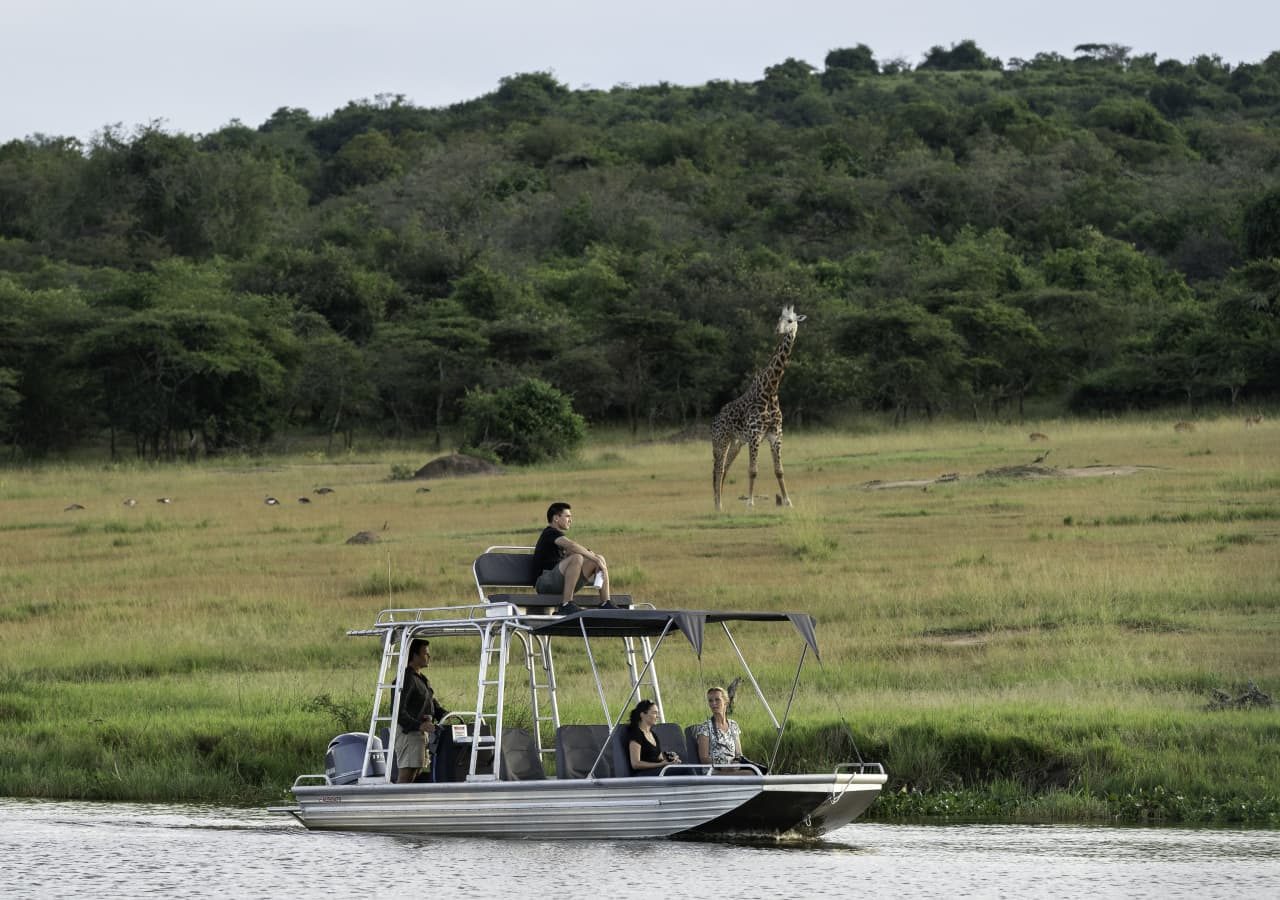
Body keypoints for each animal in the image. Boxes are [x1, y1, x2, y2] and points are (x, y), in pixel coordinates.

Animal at [706, 305, 803, 509]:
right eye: (779, 318)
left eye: (791, 320)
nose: (778, 330)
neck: (771, 390)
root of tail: (714, 421)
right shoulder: (755, 435)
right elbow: (753, 470)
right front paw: (750, 503)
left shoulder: (776, 435)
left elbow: (779, 470)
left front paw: (787, 501)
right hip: (720, 441)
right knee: (717, 470)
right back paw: (718, 505)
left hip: (736, 443)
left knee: (725, 469)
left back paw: (720, 504)